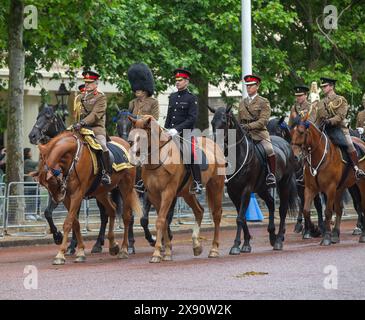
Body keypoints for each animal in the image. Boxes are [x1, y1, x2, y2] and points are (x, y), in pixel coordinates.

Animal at [27, 105, 123, 255]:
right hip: (100, 193)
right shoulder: (57, 193)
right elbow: (48, 212)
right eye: (37, 116)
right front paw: (58, 237)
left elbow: (73, 218)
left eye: (48, 117)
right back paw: (99, 243)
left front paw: (72, 245)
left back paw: (99, 244)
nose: (32, 136)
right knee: (106, 213)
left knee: (106, 215)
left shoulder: (75, 194)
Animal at [35, 131, 141, 264]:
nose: (56, 198)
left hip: (126, 187)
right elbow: (75, 223)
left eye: (52, 182)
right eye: (44, 184)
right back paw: (112, 245)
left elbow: (68, 222)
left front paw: (61, 254)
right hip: (101, 192)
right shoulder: (67, 197)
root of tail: (126, 143)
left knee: (126, 217)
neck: (73, 158)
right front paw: (79, 251)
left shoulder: (77, 194)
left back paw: (124, 249)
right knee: (111, 210)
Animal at [128, 115, 225, 262]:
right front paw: (167, 252)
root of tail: (214, 145)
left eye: (143, 138)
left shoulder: (168, 193)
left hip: (216, 186)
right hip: (187, 194)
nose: (133, 158)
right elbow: (163, 220)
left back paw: (214, 249)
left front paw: (157, 253)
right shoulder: (153, 195)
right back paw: (196, 245)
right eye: (130, 139)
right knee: (199, 211)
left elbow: (160, 220)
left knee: (217, 215)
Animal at [209, 106, 298, 254]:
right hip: (262, 188)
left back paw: (279, 240)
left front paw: (236, 245)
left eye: (224, 122)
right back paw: (272, 236)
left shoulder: (247, 189)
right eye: (212, 122)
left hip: (284, 184)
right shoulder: (233, 192)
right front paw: (246, 243)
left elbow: (240, 218)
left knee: (282, 209)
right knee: (271, 203)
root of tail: (286, 144)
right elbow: (242, 217)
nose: (217, 145)